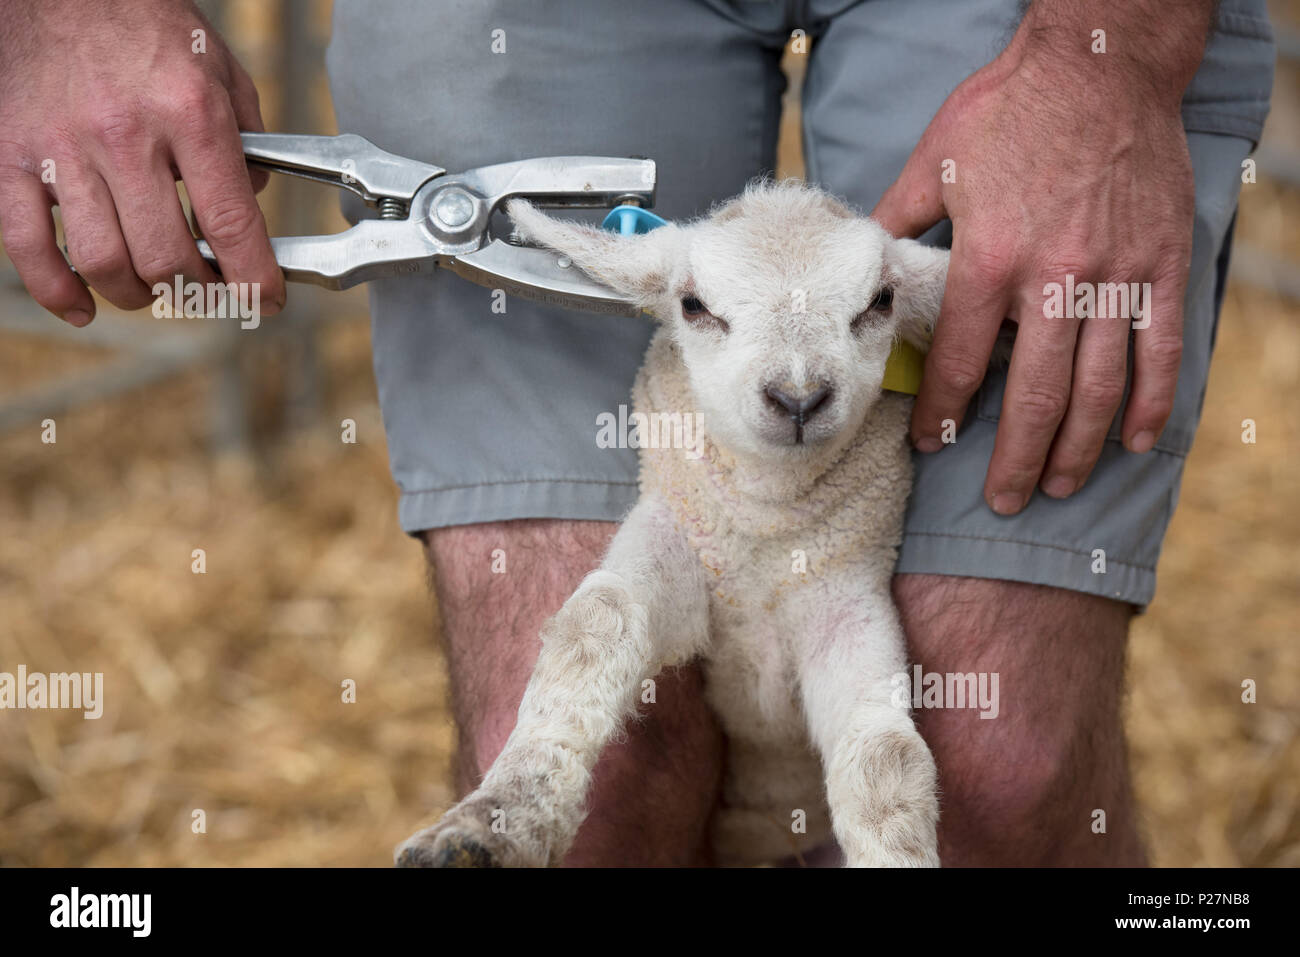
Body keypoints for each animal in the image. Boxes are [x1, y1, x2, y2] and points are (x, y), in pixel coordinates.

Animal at [395, 178, 956, 868]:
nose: (798, 399)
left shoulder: (844, 597)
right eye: (693, 305)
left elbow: (885, 755)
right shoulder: (679, 546)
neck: (765, 527)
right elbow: (597, 623)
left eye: (881, 301)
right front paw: (490, 822)